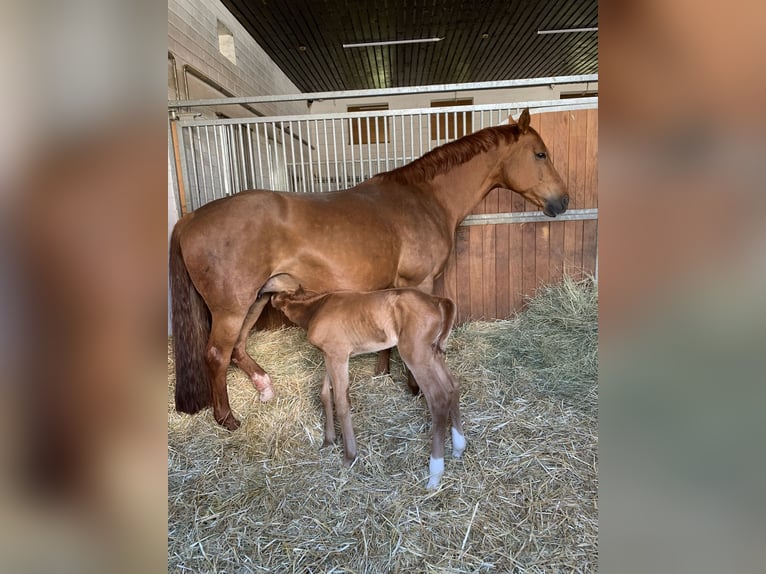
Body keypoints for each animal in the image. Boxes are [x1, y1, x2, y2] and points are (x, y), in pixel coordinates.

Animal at [268, 286, 472, 488]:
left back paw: (434, 476)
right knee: (452, 386)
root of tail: (437, 300)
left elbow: (341, 402)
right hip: (434, 353)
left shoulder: (337, 354)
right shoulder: (330, 355)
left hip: (416, 354)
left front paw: (349, 456)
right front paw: (328, 440)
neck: (316, 308)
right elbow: (325, 394)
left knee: (439, 398)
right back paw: (458, 447)